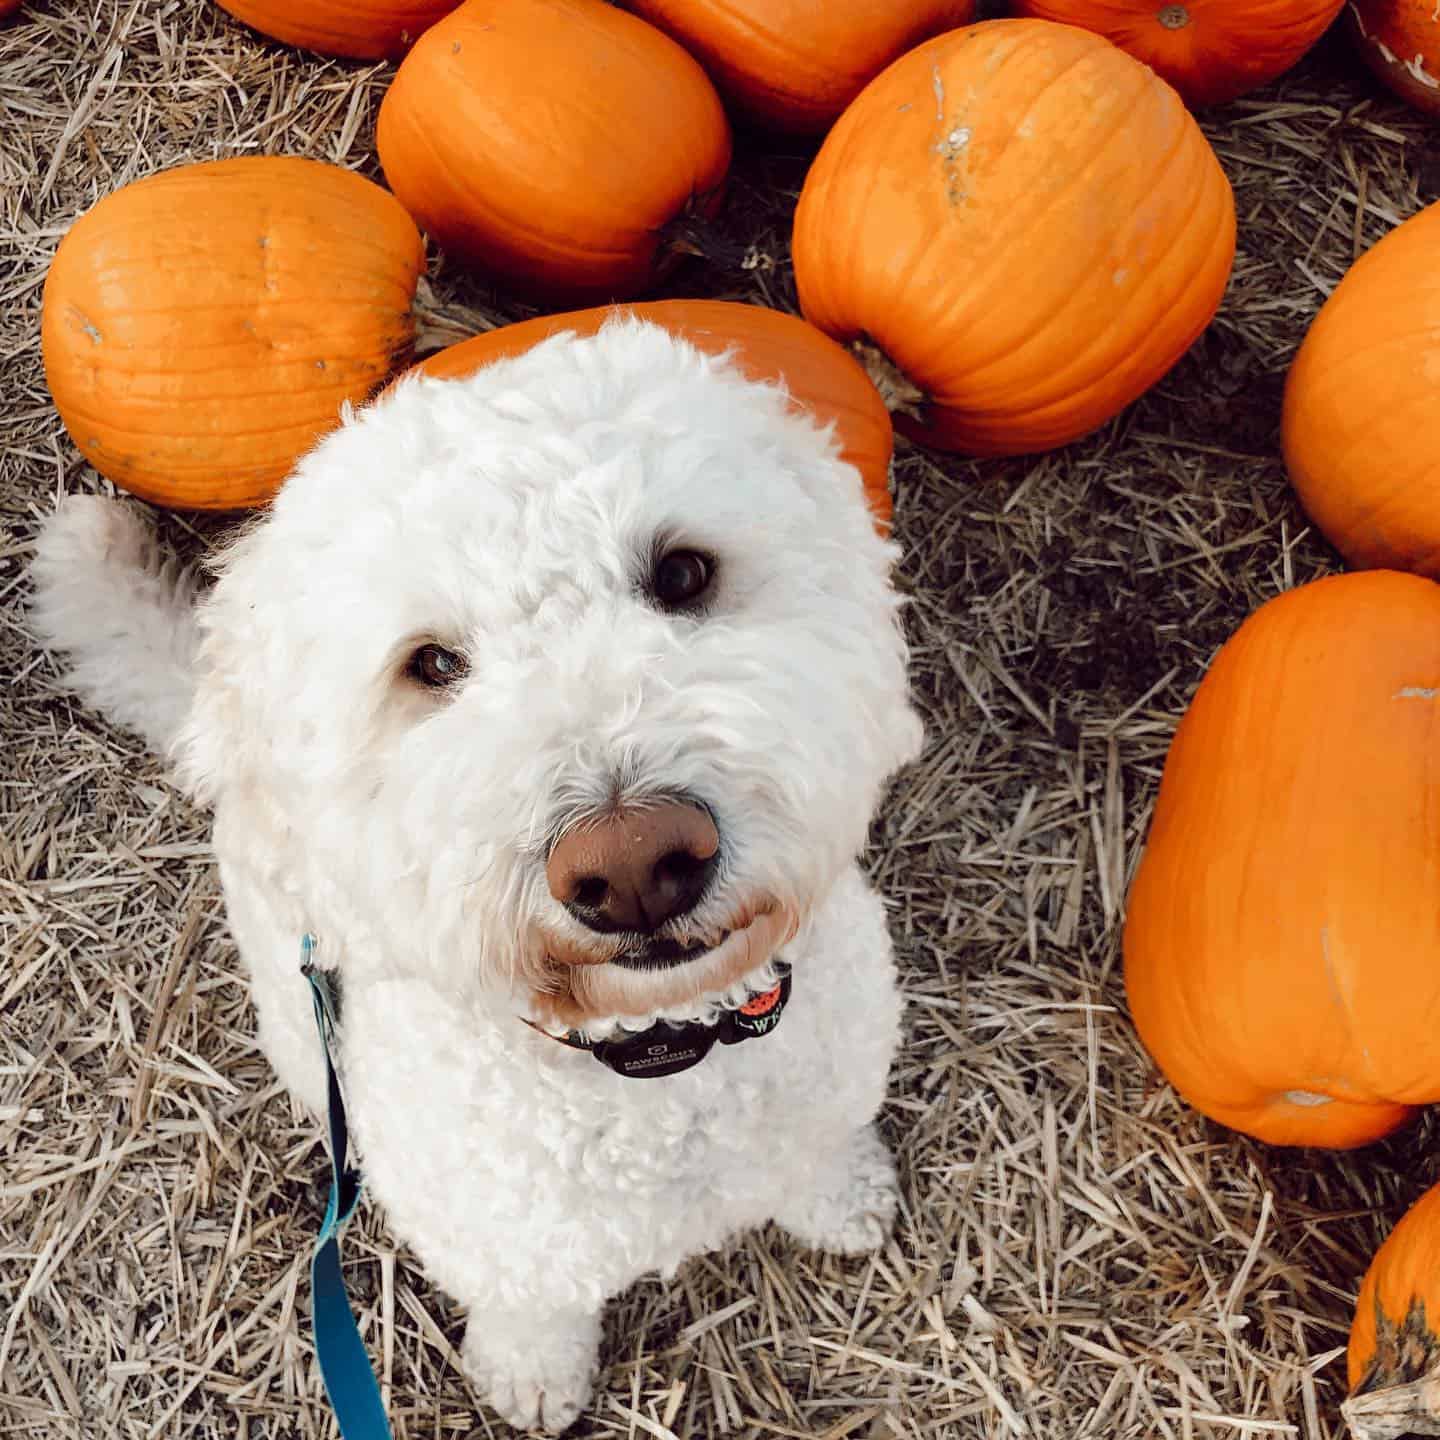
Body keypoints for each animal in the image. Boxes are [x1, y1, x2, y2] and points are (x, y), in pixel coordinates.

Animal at [30, 318, 921, 1428]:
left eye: (681, 575)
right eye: (432, 666)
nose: (635, 864)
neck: (664, 1060)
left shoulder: (828, 1084)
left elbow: (820, 1151)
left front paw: (844, 1199)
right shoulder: (503, 1242)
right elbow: (531, 1307)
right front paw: (532, 1376)